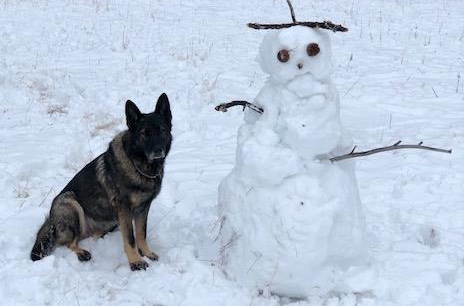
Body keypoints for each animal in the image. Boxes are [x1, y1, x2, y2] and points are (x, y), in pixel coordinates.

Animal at [30, 93, 172, 270]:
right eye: (144, 133)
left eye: (162, 131)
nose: (158, 151)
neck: (139, 165)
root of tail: (51, 220)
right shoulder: (125, 209)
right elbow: (130, 238)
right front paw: (135, 261)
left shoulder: (142, 209)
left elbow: (141, 233)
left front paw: (146, 253)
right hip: (69, 201)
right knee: (68, 242)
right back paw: (81, 252)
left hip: (110, 221)